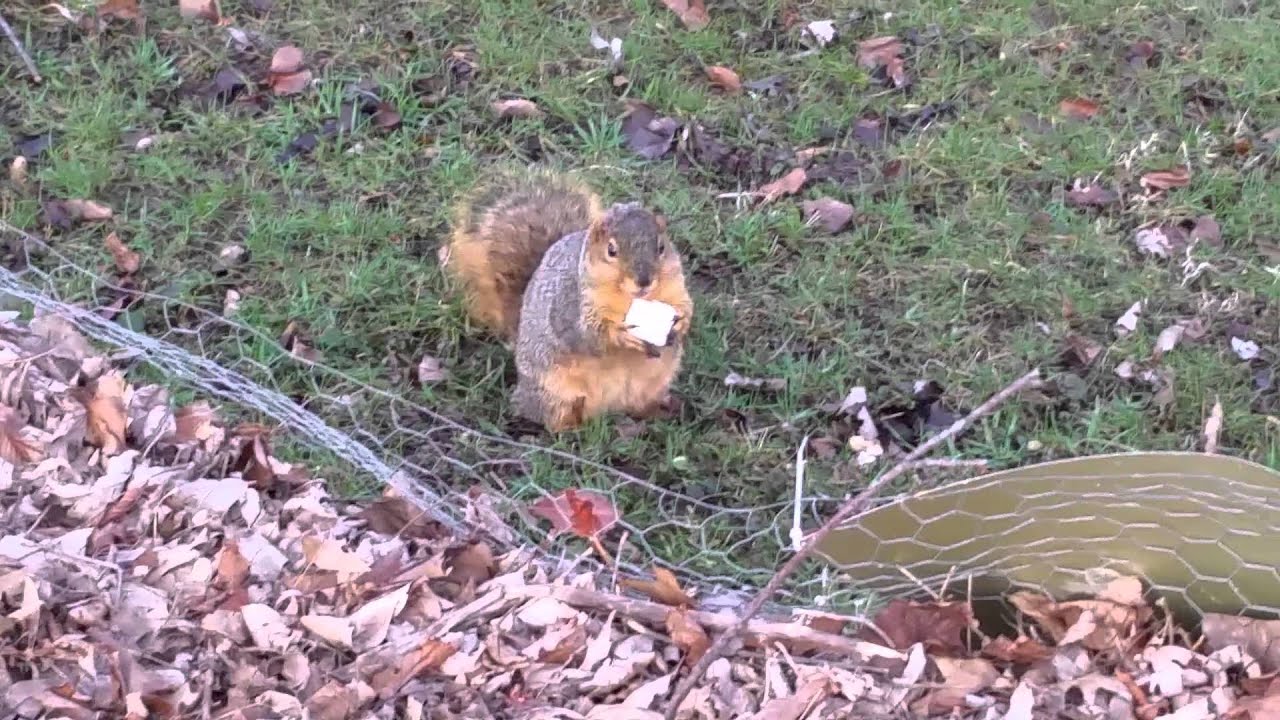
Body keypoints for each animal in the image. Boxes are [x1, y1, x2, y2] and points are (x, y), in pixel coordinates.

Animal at [443, 168, 693, 431]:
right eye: (611, 250)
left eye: (662, 247)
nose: (644, 281)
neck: (631, 298)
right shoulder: (570, 303)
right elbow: (588, 334)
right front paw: (621, 335)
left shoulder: (676, 284)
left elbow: (686, 304)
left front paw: (681, 322)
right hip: (554, 392)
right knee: (553, 417)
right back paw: (570, 429)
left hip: (653, 386)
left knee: (641, 407)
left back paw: (665, 410)